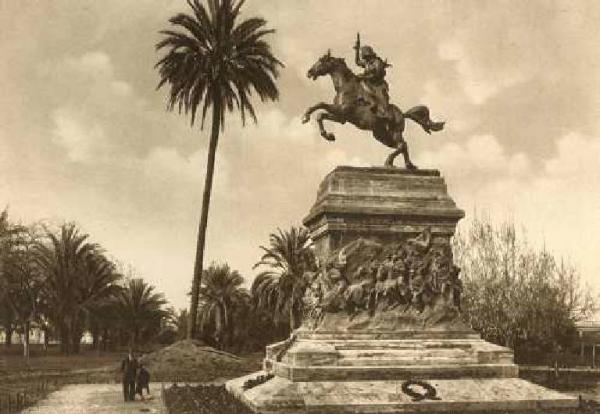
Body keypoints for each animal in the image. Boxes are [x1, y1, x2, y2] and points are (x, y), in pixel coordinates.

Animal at [302, 51, 442, 167]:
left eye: (321, 60)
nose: (309, 72)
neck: (345, 87)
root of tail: (402, 114)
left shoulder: (341, 111)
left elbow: (320, 106)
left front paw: (307, 119)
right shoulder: (341, 117)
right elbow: (320, 113)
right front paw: (328, 135)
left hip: (394, 132)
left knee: (402, 145)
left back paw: (390, 162)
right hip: (381, 135)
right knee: (403, 145)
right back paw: (407, 165)